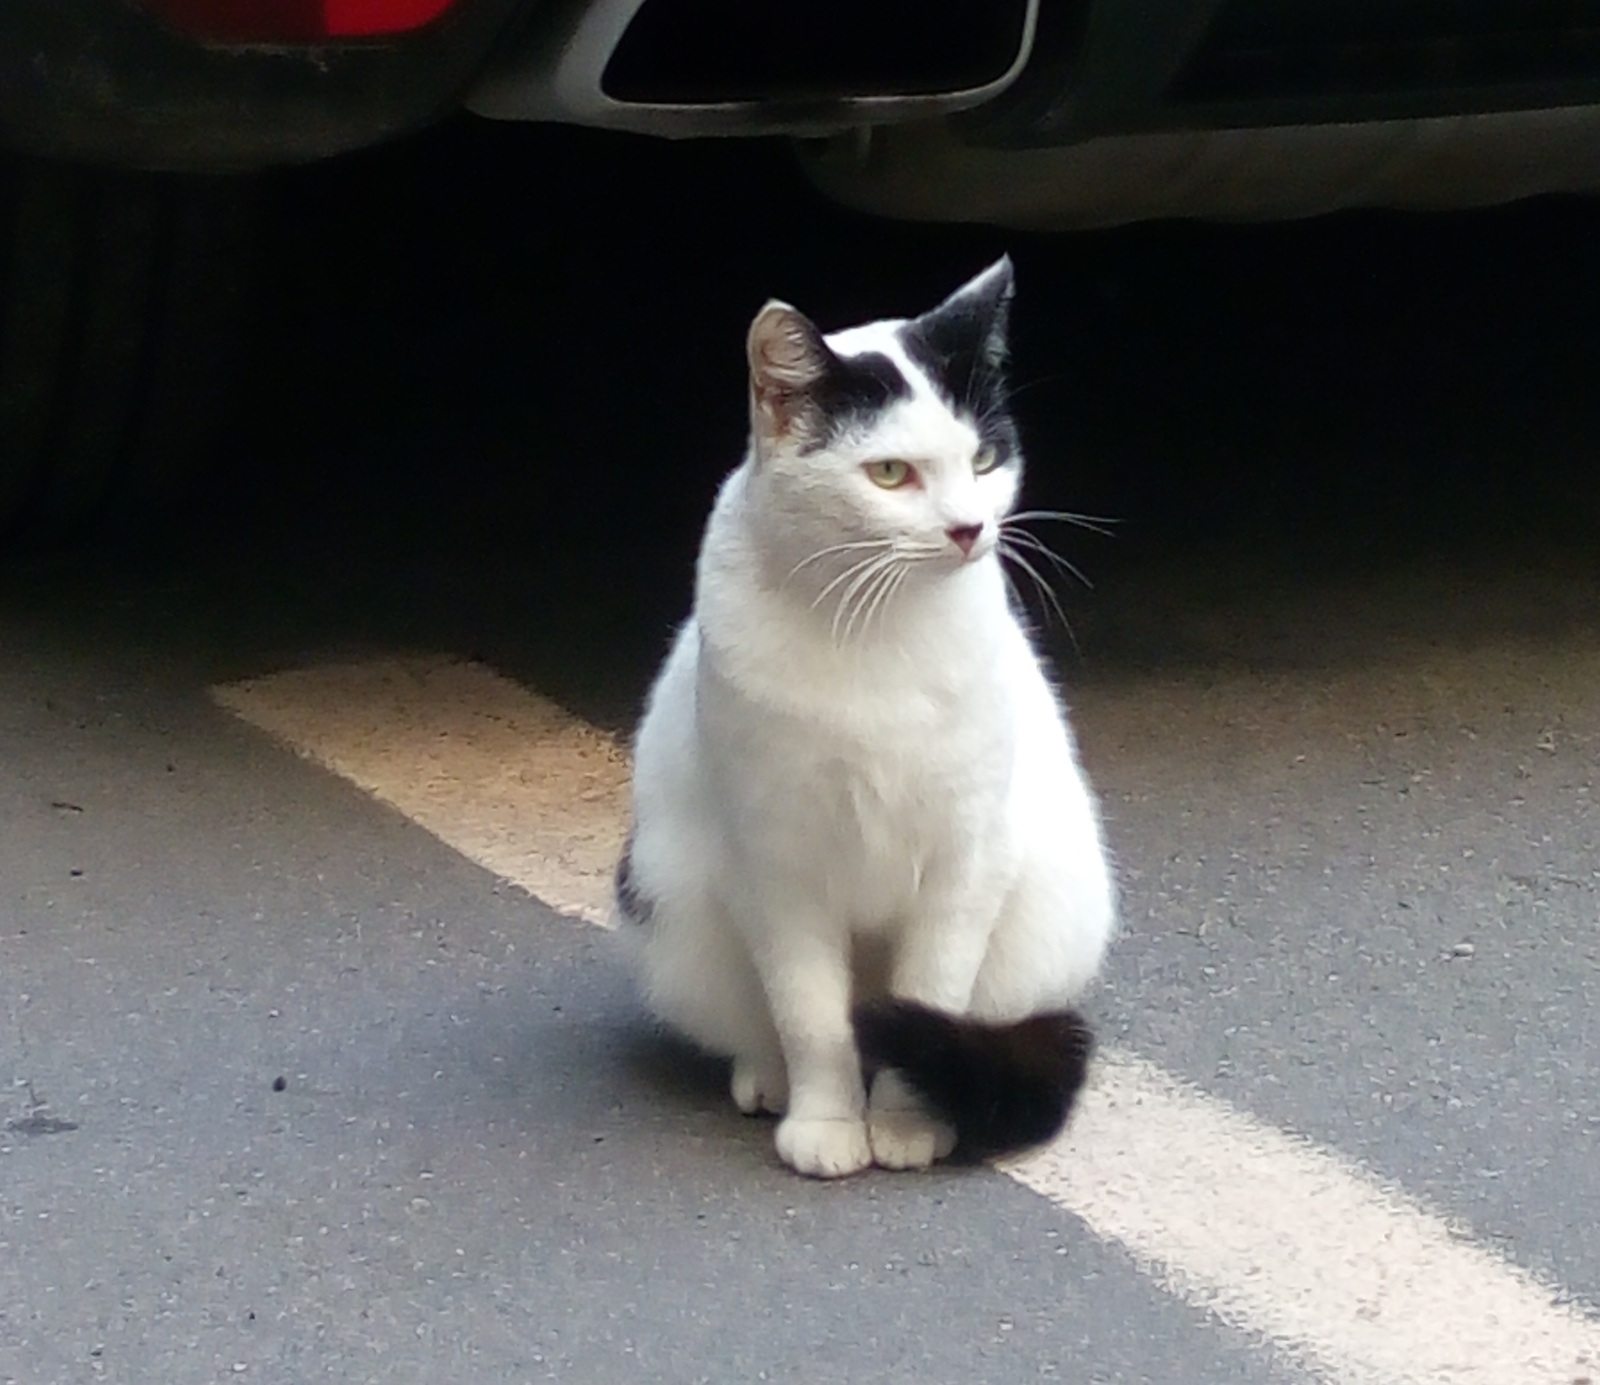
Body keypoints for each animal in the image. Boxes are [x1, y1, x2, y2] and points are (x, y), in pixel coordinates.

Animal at [611, 259, 1113, 1177]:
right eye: (889, 474)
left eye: (983, 458)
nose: (969, 528)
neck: (876, 625)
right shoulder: (775, 866)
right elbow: (812, 1017)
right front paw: (828, 1123)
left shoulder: (966, 856)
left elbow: (930, 995)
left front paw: (908, 1123)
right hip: (672, 899)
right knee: (758, 1020)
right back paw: (767, 1077)